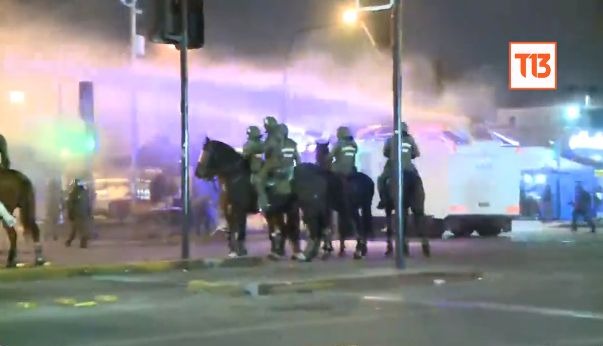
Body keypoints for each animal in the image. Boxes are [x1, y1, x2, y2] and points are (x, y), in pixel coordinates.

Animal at [197, 138, 330, 260]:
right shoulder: (228, 211)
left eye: (207, 152)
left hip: (306, 208)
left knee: (313, 228)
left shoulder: (240, 210)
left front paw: (241, 251)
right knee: (293, 229)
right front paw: (233, 251)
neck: (235, 176)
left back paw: (307, 254)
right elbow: (231, 231)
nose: (197, 173)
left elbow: (241, 231)